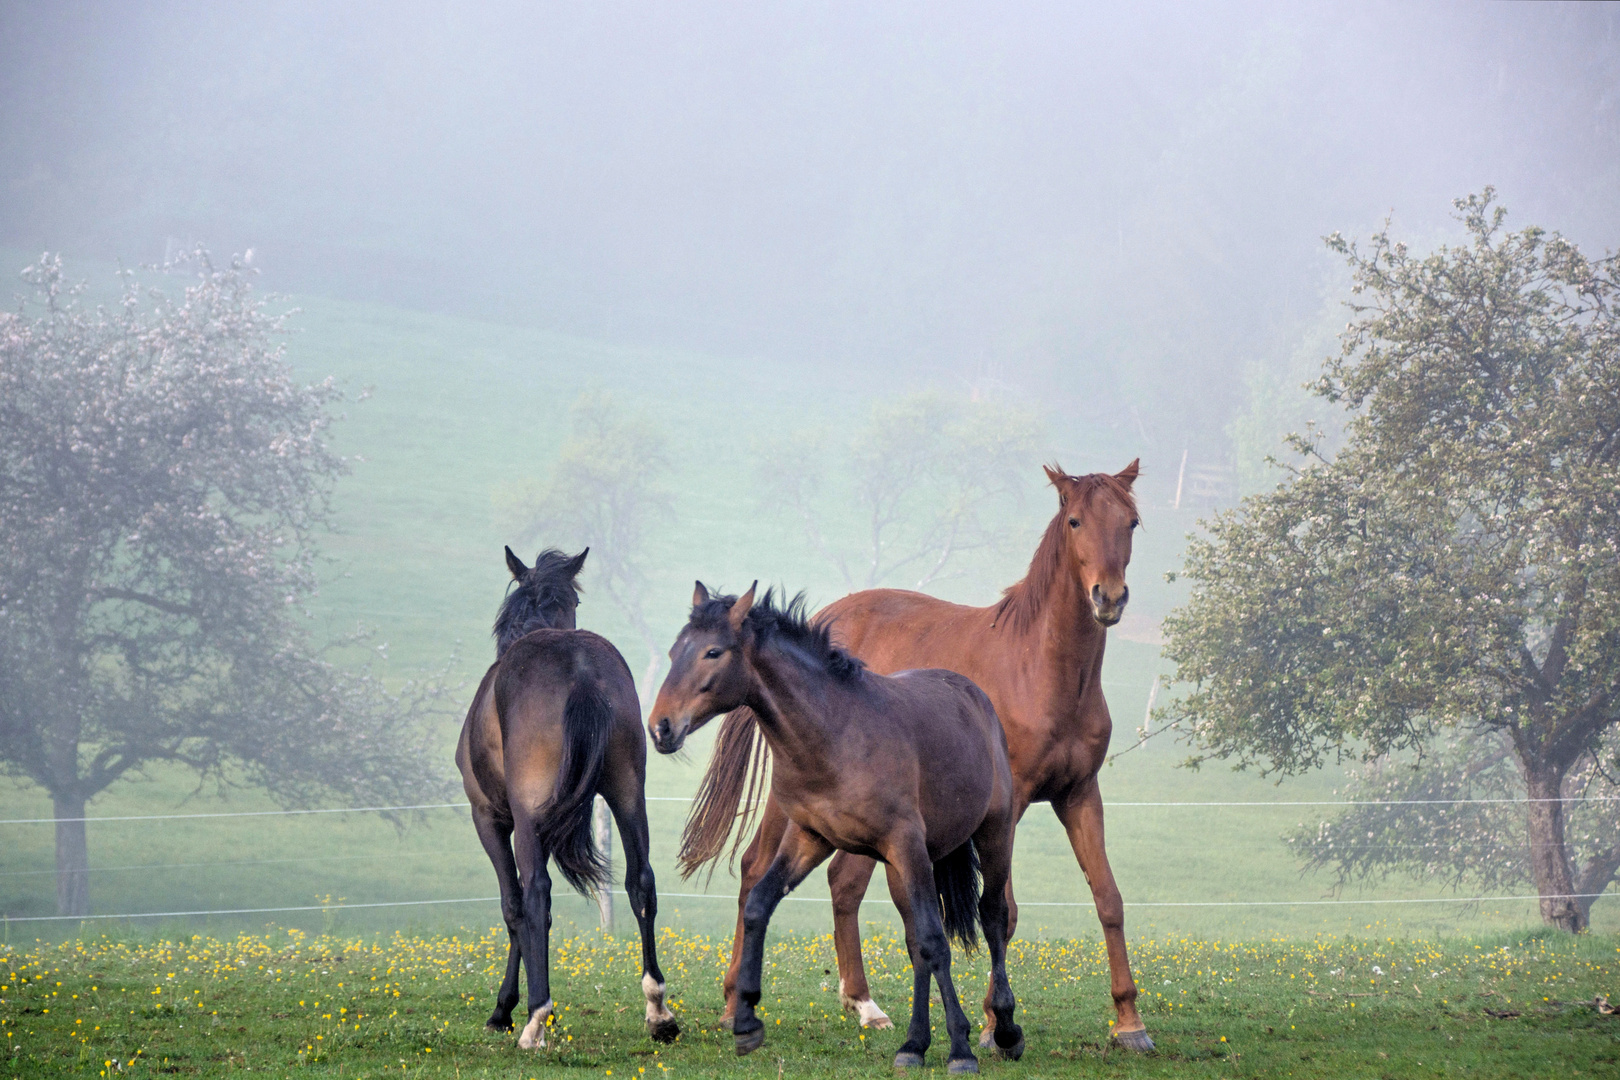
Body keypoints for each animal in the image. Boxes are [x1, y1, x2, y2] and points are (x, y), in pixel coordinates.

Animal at [456, 550, 677, 1049]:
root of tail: (581, 671)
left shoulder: (491, 818)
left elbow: (514, 906)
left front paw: (505, 1009)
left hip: (527, 817)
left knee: (536, 894)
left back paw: (536, 1019)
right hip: (628, 795)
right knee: (642, 882)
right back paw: (658, 1012)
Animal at [648, 582, 1017, 1075]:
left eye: (713, 652)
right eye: (674, 652)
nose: (661, 728)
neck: (835, 734)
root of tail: (973, 695)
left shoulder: (905, 844)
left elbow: (937, 942)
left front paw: (960, 1049)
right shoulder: (810, 839)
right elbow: (759, 904)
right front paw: (745, 1022)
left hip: (992, 835)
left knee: (992, 918)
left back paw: (1005, 1029)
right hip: (903, 866)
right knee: (915, 940)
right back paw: (913, 1044)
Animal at [683, 459, 1153, 1049]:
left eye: (1131, 523)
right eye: (1074, 522)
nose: (1108, 597)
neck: (1039, 667)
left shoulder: (1080, 794)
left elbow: (1108, 899)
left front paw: (1130, 1022)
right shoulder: (1009, 808)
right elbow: (1003, 911)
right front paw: (994, 1024)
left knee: (843, 884)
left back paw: (863, 1004)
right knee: (754, 870)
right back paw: (734, 1005)